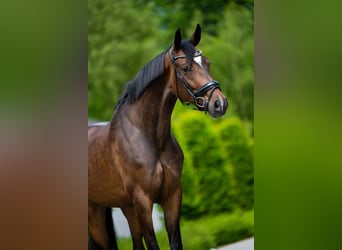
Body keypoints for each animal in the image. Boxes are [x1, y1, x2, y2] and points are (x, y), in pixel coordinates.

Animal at [88, 23, 228, 250]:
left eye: (207, 63)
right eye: (186, 68)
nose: (220, 103)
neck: (149, 136)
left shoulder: (172, 196)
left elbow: (175, 243)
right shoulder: (143, 201)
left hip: (124, 208)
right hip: (95, 214)